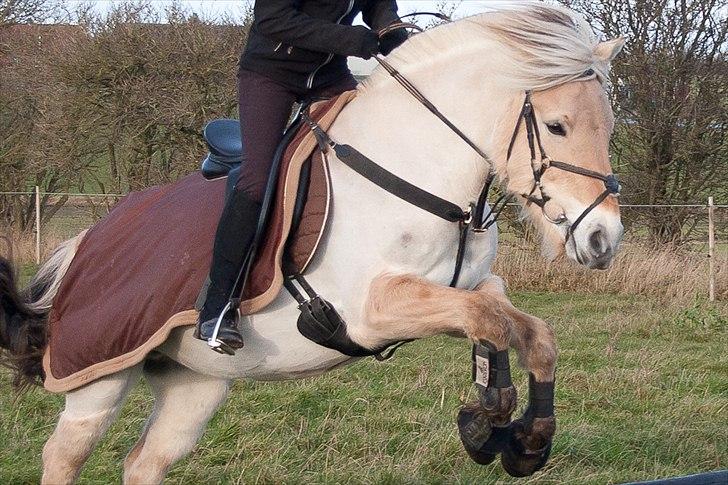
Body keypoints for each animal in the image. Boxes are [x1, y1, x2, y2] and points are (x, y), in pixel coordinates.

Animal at [0, 4, 625, 483]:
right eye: (558, 127)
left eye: (612, 127)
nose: (603, 238)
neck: (416, 169)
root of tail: (88, 239)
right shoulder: (370, 311)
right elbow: (490, 321)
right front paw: (486, 422)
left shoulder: (469, 285)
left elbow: (522, 327)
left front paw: (527, 439)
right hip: (99, 377)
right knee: (63, 458)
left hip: (192, 385)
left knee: (144, 463)